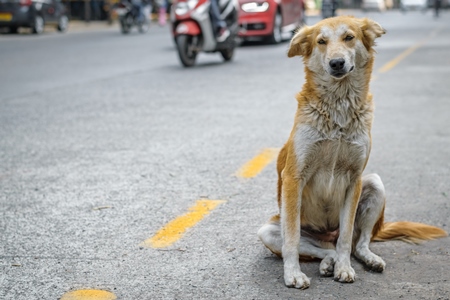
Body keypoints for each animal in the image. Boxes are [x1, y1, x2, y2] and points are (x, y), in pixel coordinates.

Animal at [256, 15, 446, 288]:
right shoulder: (293, 177)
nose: (336, 62)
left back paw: (365, 260)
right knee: (322, 249)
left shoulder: (354, 179)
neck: (339, 107)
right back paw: (327, 263)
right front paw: (292, 274)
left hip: (375, 185)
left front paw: (344, 269)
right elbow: (291, 239)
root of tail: (326, 235)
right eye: (321, 41)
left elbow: (345, 238)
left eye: (349, 37)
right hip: (269, 231)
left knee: (356, 244)